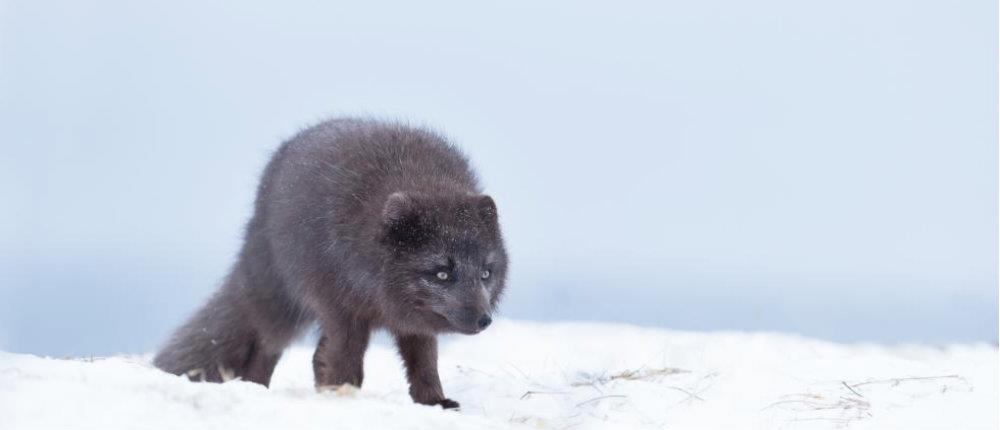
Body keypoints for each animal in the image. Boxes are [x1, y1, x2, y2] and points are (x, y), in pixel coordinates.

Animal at [154, 118, 508, 410]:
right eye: (442, 273)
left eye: (485, 272)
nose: (484, 320)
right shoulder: (342, 310)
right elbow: (346, 359)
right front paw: (344, 397)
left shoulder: (414, 321)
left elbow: (424, 361)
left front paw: (434, 402)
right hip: (280, 300)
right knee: (267, 344)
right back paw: (258, 387)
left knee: (314, 355)